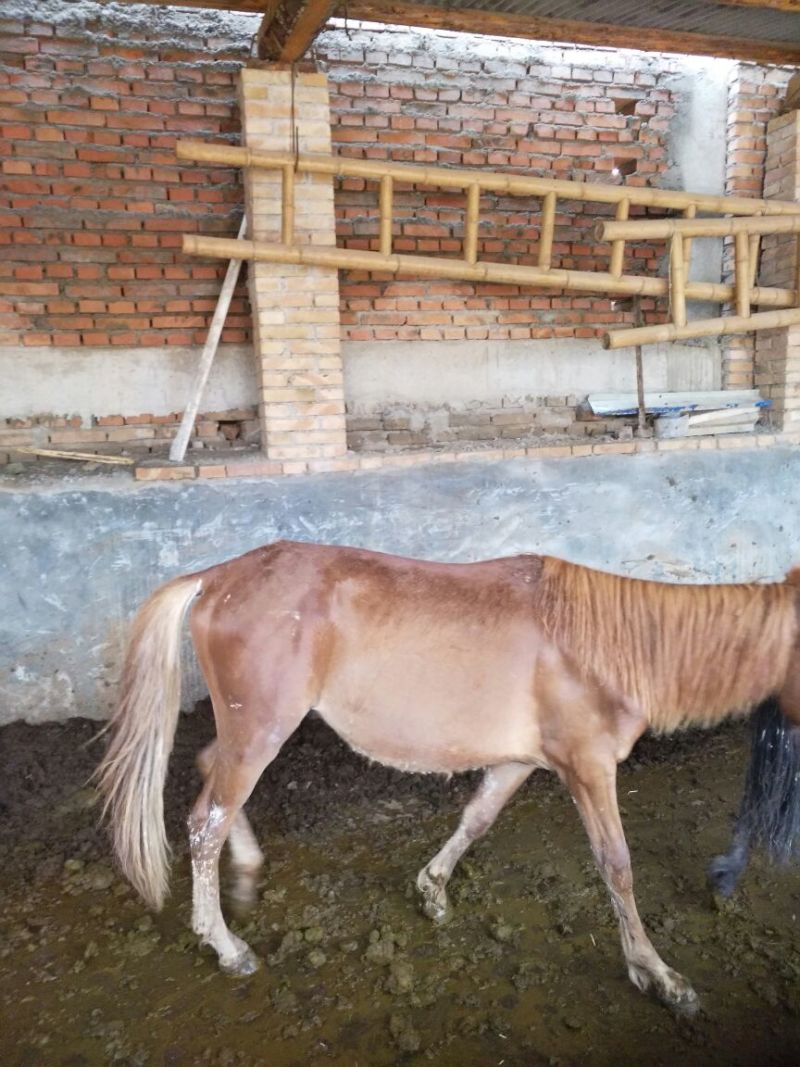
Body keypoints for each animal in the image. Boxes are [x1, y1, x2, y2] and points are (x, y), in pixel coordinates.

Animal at [95, 540, 800, 1015]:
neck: (608, 644)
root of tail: (215, 577)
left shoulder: (520, 760)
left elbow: (477, 818)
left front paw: (432, 890)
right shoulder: (588, 766)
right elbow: (616, 865)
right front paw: (657, 974)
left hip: (254, 731)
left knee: (210, 777)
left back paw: (244, 875)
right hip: (262, 728)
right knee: (203, 822)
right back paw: (225, 943)